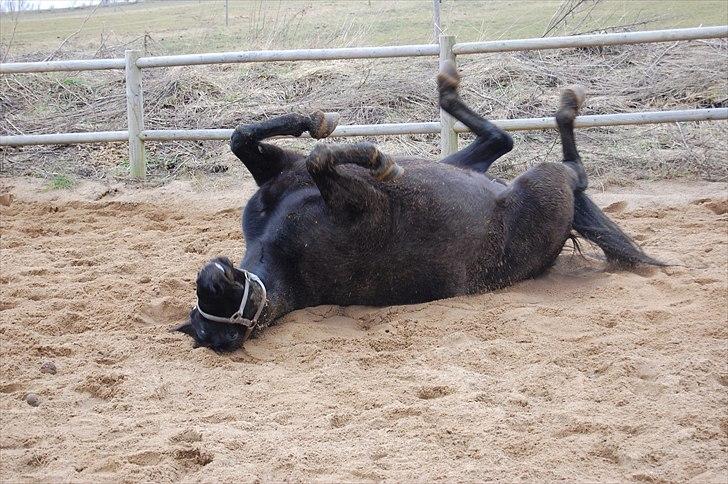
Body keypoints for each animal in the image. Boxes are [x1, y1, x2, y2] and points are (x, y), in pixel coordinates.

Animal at [176, 62, 660, 352]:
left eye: (210, 295)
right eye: (217, 329)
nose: (213, 273)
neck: (279, 251)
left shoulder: (279, 171)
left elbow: (246, 137)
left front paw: (319, 122)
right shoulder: (366, 204)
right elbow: (321, 158)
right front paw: (378, 158)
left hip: (469, 165)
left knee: (504, 139)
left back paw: (451, 88)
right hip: (543, 185)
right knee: (572, 172)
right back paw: (565, 111)